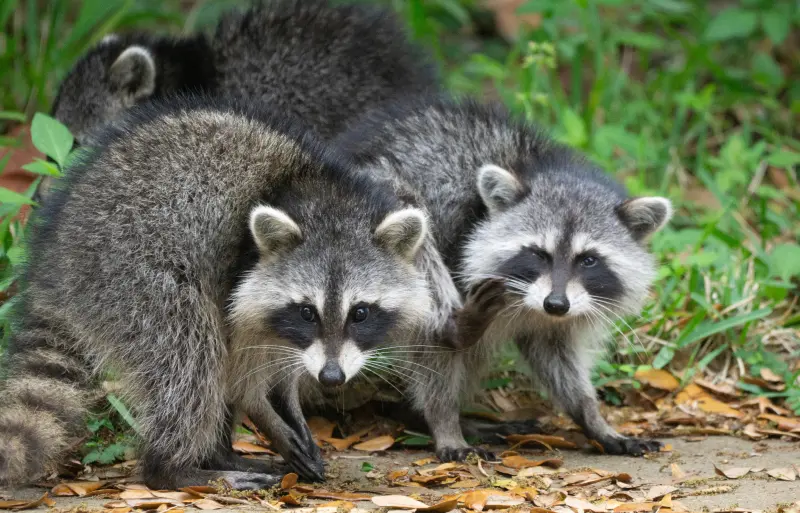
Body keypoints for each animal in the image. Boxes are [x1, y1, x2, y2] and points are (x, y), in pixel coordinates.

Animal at [0, 95, 438, 488]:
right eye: (307, 312)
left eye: (360, 312)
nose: (331, 378)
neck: (331, 203)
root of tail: (55, 260)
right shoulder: (239, 274)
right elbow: (241, 367)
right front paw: (267, 414)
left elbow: (280, 359)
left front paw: (288, 404)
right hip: (131, 272)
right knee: (191, 357)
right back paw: (176, 468)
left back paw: (219, 454)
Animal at [338, 97, 676, 456]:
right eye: (539, 253)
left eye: (588, 260)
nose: (556, 304)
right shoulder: (456, 244)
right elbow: (434, 350)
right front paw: (444, 421)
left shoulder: (556, 313)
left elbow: (555, 355)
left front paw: (591, 417)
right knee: (409, 217)